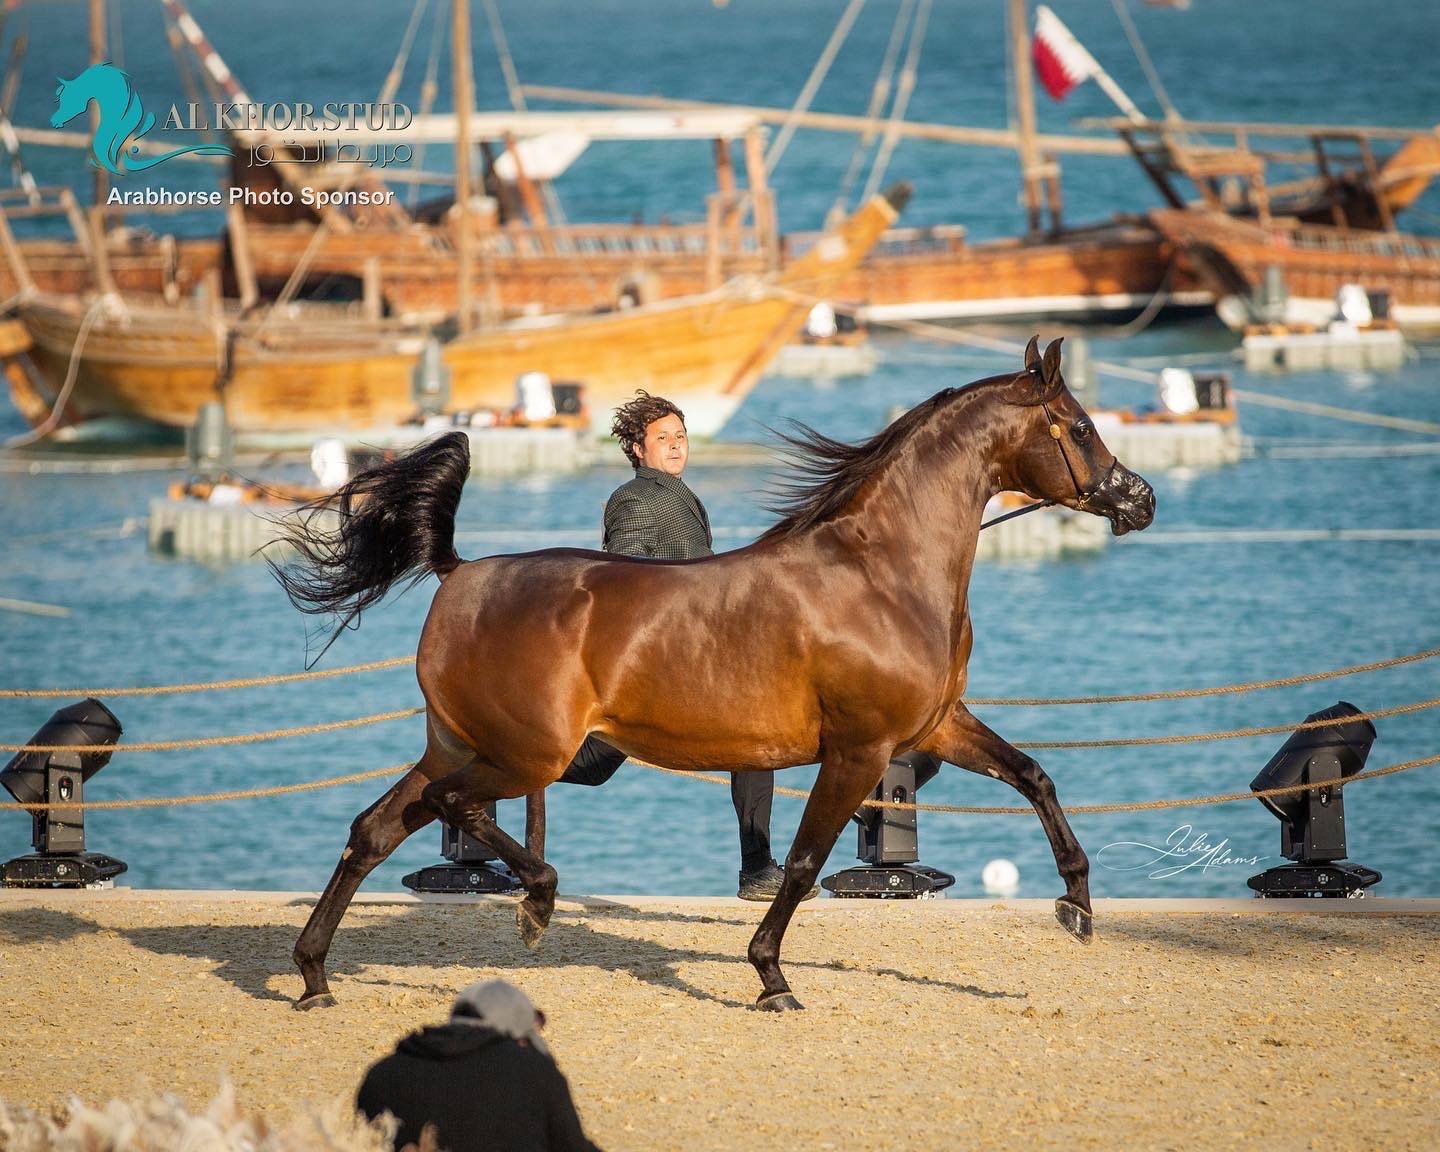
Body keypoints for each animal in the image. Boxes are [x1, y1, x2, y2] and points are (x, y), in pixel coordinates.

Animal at [271, 335, 1156, 1011]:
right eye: (1080, 425)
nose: (1139, 499)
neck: (880, 573)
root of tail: (459, 575)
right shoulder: (859, 751)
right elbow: (801, 862)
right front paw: (771, 978)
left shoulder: (937, 725)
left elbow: (1034, 776)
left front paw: (1077, 905)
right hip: (527, 756)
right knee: (453, 811)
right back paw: (535, 904)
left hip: (460, 746)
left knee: (374, 829)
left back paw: (314, 976)